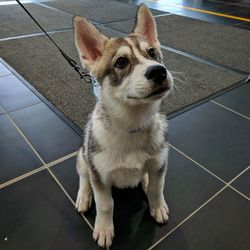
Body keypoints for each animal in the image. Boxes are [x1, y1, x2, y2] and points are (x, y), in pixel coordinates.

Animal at [73, 3, 173, 248]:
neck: (132, 125)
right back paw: (84, 196)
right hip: (82, 155)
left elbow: (157, 188)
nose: (158, 71)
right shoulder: (100, 175)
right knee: (83, 176)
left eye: (152, 53)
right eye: (121, 62)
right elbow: (105, 204)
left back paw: (144, 180)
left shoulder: (160, 162)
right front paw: (104, 229)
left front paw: (157, 206)